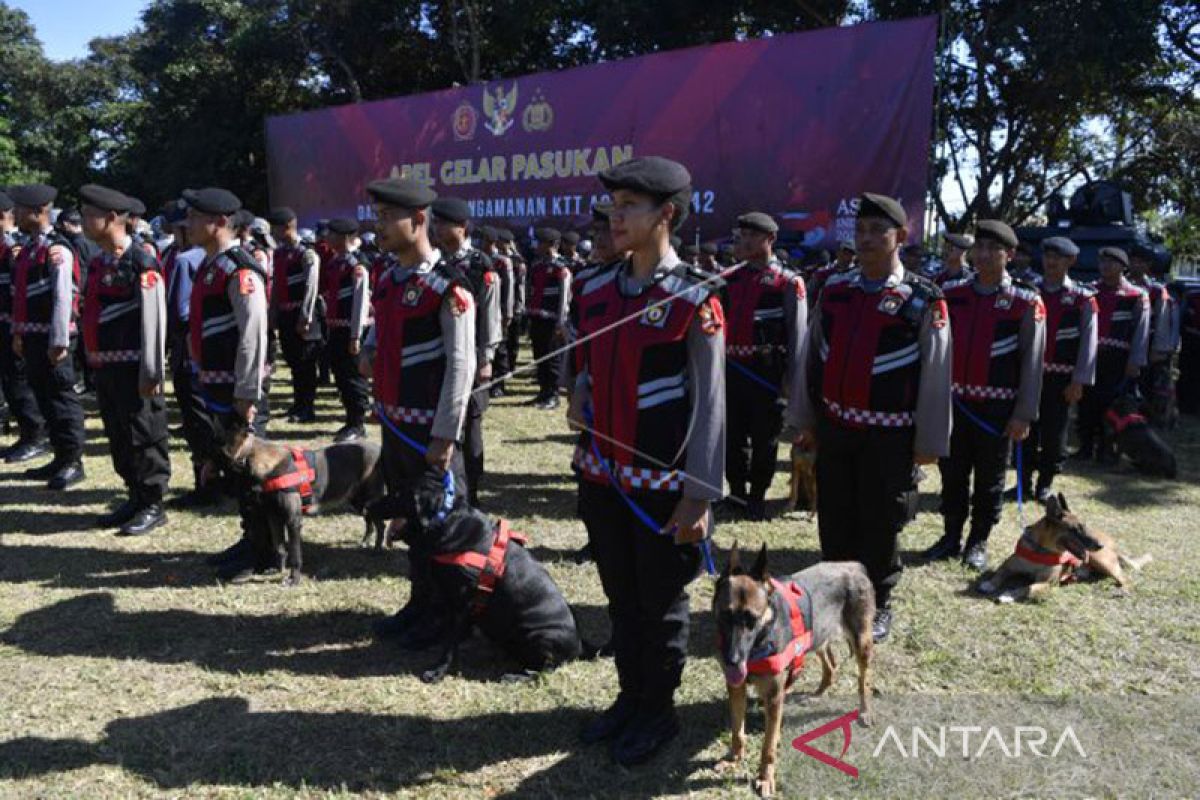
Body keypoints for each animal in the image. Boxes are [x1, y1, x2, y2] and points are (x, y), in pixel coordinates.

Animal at [218, 419, 381, 582]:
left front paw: (294, 578)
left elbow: (295, 554)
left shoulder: (293, 521)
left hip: (370, 501)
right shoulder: (274, 517)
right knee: (369, 521)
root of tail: (379, 449)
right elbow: (279, 548)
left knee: (381, 525)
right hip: (358, 502)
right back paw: (366, 541)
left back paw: (377, 549)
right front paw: (277, 570)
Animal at [384, 472, 590, 686]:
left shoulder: (462, 603)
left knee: (543, 670)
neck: (446, 522)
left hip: (539, 636)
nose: (371, 505)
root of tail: (578, 646)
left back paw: (514, 676)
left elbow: (450, 643)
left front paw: (438, 671)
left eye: (397, 493)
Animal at [710, 542, 873, 796]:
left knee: (863, 679)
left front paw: (765, 778)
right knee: (831, 666)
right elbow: (737, 731)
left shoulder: (774, 697)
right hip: (816, 637)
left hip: (861, 643)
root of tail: (854, 565)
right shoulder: (736, 689)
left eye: (752, 620)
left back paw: (864, 711)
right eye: (726, 615)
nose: (733, 660)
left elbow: (768, 747)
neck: (760, 641)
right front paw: (733, 758)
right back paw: (817, 694)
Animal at [974, 491, 1152, 604]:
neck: (1041, 549)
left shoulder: (1047, 583)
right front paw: (989, 584)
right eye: (1075, 529)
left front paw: (1008, 595)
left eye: (1085, 526)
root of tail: (1112, 545)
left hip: (1101, 561)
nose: (1099, 546)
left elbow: (1026, 588)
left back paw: (1123, 591)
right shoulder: (1009, 565)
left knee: (1126, 580)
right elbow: (1000, 573)